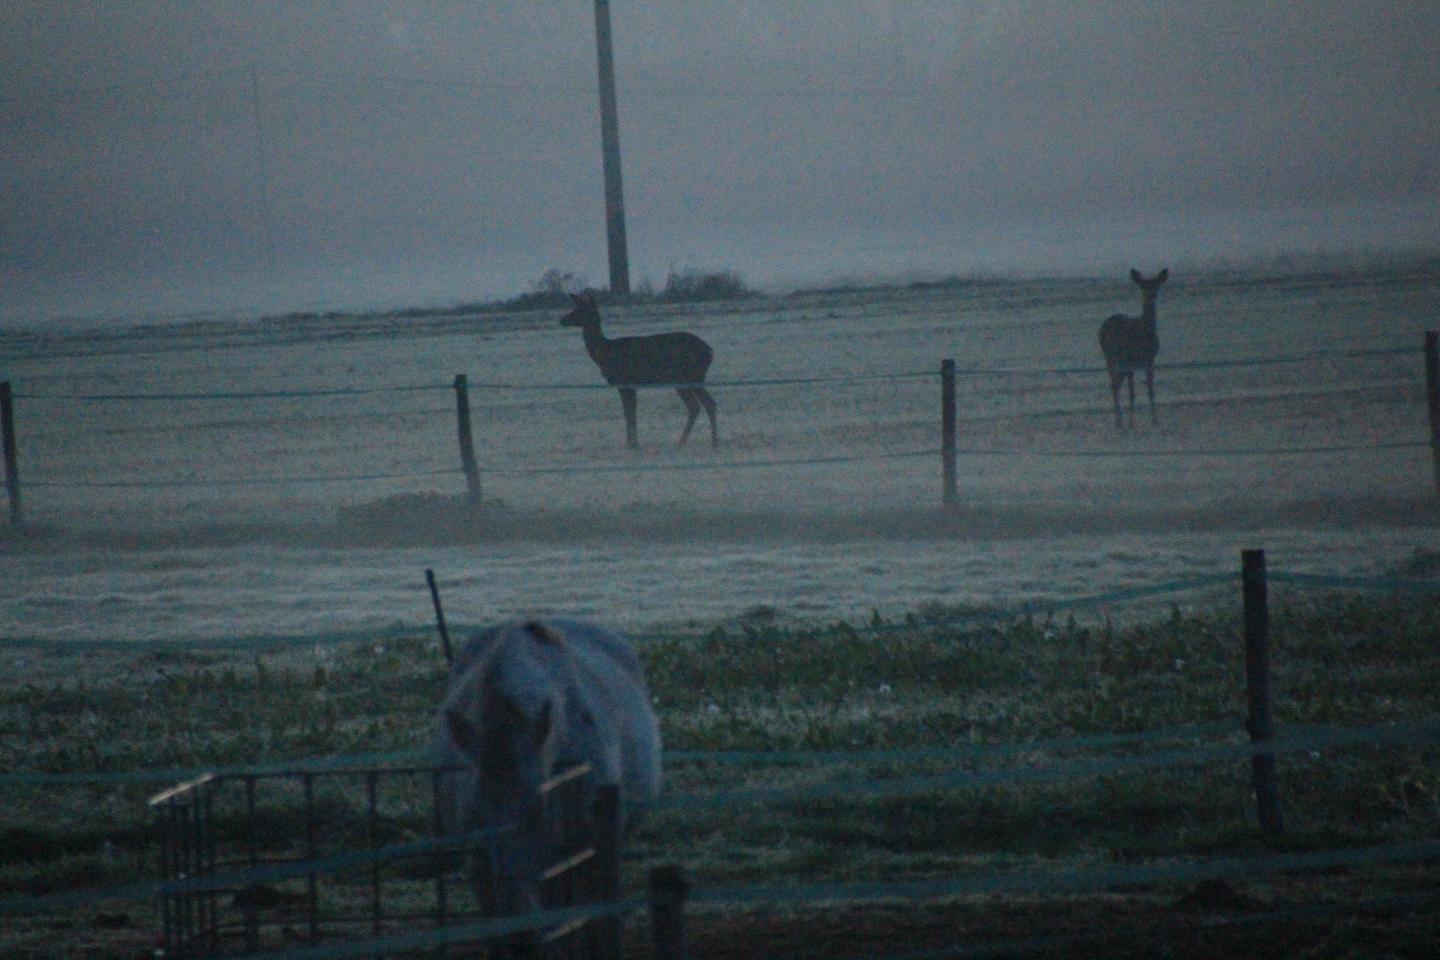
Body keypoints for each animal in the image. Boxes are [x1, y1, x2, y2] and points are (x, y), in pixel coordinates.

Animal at [561, 290, 720, 451]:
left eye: (579, 309)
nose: (562, 320)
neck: (605, 353)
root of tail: (710, 351)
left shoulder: (625, 382)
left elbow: (629, 413)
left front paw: (631, 444)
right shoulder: (629, 385)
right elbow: (630, 412)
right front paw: (632, 442)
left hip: (692, 376)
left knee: (707, 404)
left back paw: (712, 442)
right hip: (683, 380)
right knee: (695, 406)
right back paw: (683, 441)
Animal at [1100, 264, 1169, 426]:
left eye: (1156, 285)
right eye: (1143, 285)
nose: (1151, 295)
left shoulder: (1150, 360)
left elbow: (1150, 390)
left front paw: (1154, 420)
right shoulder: (1130, 359)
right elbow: (1132, 393)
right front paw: (1131, 423)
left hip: (1119, 362)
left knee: (1115, 384)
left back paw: (1118, 420)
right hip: (1111, 357)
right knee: (1114, 384)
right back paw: (1119, 421)